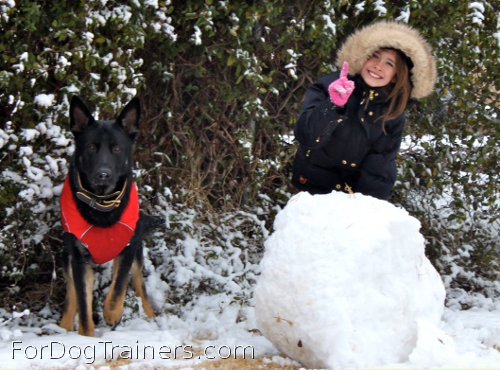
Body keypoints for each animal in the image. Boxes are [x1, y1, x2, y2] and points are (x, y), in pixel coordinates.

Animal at [59, 97, 163, 336]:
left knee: (140, 288)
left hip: (137, 255)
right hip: (68, 257)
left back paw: (150, 318)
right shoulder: (79, 258)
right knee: (72, 297)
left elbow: (118, 289)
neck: (101, 203)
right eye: (91, 147)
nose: (103, 174)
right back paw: (64, 327)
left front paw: (112, 314)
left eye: (116, 148)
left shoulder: (128, 249)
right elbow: (83, 304)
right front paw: (85, 337)